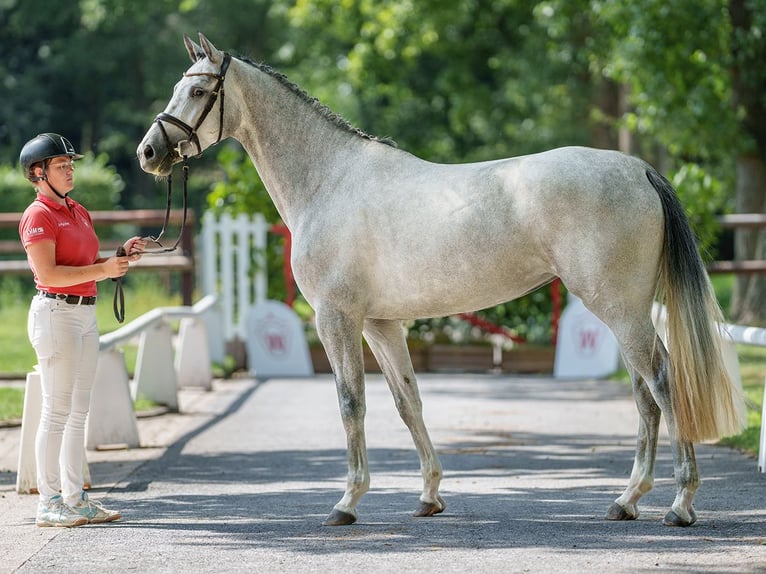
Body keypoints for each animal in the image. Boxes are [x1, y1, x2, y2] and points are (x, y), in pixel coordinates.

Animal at [136, 33, 744, 528]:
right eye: (177, 87)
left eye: (197, 91)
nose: (149, 152)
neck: (329, 181)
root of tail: (637, 169)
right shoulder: (382, 325)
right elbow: (409, 402)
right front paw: (429, 497)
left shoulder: (337, 318)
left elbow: (350, 402)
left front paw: (346, 503)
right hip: (624, 314)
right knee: (645, 397)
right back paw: (627, 500)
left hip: (620, 309)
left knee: (662, 383)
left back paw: (679, 504)